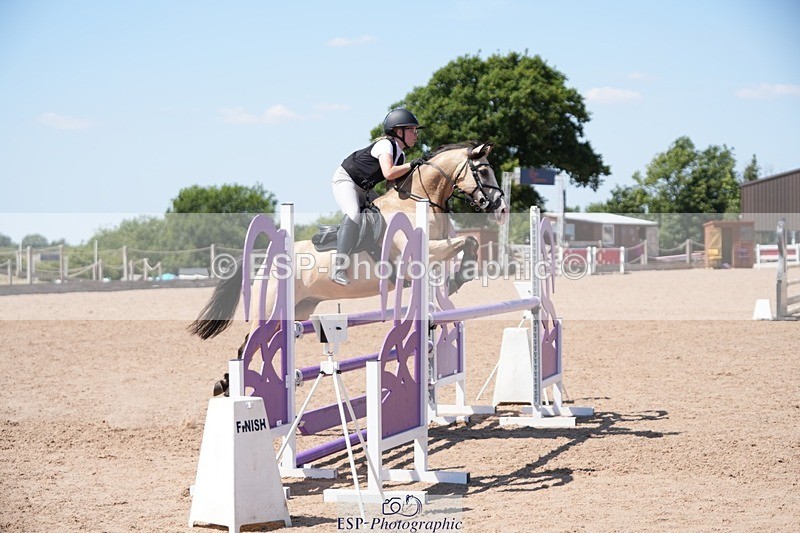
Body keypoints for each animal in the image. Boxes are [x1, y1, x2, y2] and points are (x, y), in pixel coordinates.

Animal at [189, 141, 508, 341]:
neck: (419, 201)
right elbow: (467, 242)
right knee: (250, 344)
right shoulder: (421, 254)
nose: (502, 209)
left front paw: (457, 279)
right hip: (269, 311)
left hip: (301, 308)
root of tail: (263, 258)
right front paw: (456, 280)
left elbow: (470, 244)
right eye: (483, 170)